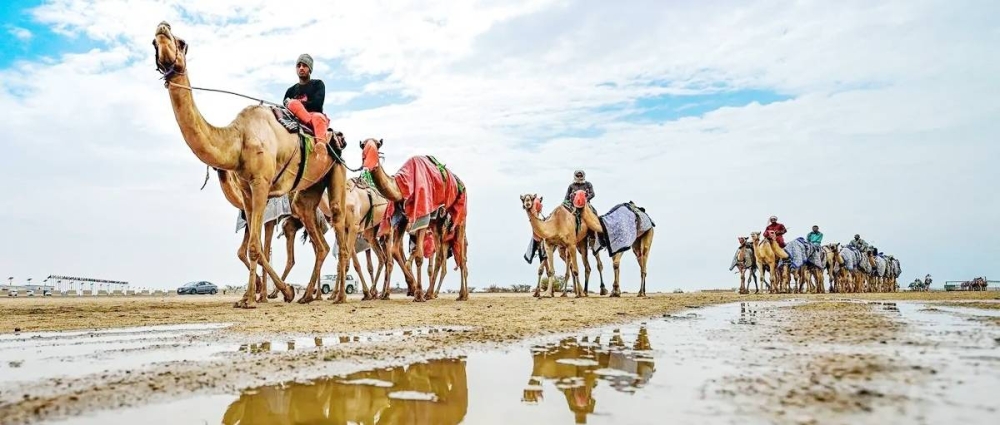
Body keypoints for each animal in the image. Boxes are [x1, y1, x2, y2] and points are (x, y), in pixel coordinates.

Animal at [148, 21, 352, 306]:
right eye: (153, 43)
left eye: (182, 42)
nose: (163, 27)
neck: (239, 138)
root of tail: (337, 139)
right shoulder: (247, 192)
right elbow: (251, 248)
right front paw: (251, 296)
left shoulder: (262, 183)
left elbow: (255, 247)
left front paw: (265, 296)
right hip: (306, 192)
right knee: (319, 241)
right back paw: (306, 296)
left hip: (336, 171)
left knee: (339, 231)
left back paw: (339, 296)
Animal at [360, 137, 468, 300]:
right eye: (363, 145)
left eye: (377, 145)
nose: (368, 159)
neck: (401, 186)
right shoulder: (403, 219)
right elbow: (396, 251)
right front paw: (414, 288)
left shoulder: (422, 216)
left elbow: (417, 256)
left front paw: (417, 293)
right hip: (437, 224)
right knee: (440, 257)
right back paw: (430, 293)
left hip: (459, 217)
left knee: (461, 257)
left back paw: (463, 294)